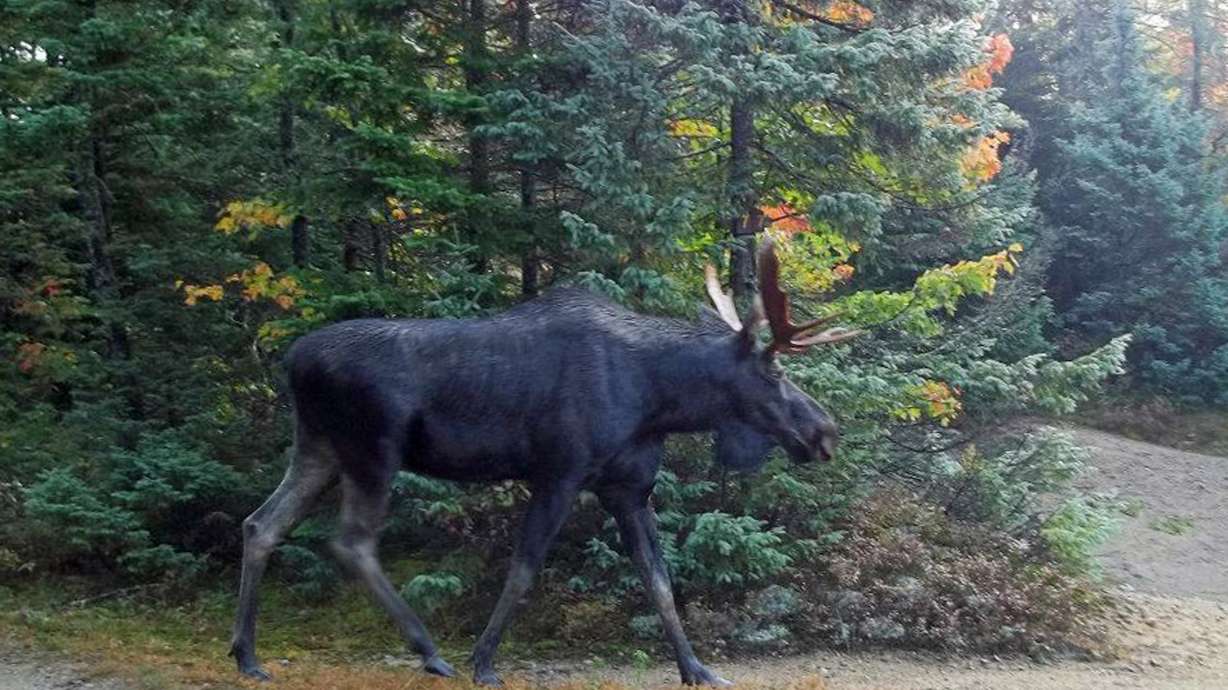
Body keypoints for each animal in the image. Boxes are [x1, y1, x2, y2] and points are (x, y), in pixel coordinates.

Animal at [228, 237, 860, 687]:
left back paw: (248, 655)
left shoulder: (628, 488)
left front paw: (698, 669)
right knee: (350, 542)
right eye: (774, 371)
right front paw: (484, 661)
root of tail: (293, 359)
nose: (825, 431)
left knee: (262, 524)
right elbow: (525, 568)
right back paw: (431, 651)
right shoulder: (559, 471)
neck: (657, 399)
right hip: (373, 450)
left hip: (318, 447)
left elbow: (658, 579)